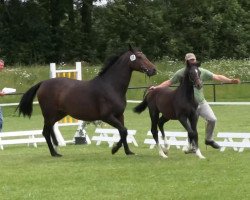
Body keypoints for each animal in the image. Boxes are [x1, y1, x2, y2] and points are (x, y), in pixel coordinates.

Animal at [17, 46, 156, 157]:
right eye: (139, 57)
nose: (153, 70)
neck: (111, 86)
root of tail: (43, 83)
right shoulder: (107, 117)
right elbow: (124, 131)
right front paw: (114, 149)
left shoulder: (119, 115)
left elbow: (124, 132)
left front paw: (128, 152)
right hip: (49, 114)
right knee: (45, 132)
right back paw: (54, 153)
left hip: (58, 114)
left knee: (50, 130)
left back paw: (56, 148)